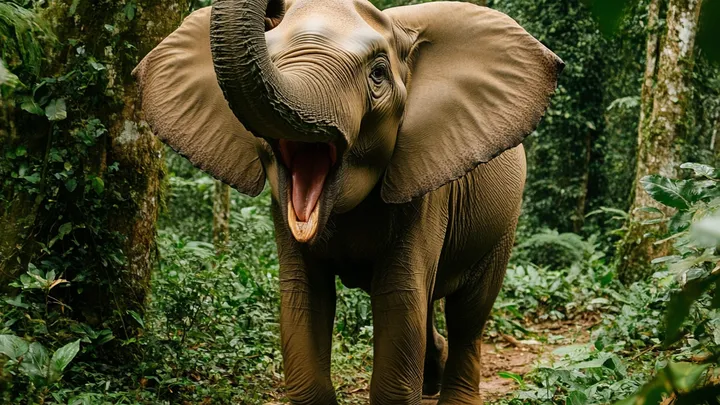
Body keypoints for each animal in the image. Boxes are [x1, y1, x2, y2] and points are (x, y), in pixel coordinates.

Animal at [133, 0, 562, 403]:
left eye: (378, 74)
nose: (273, 7)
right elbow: (304, 299)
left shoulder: (425, 188)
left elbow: (399, 299)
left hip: (504, 222)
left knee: (469, 314)